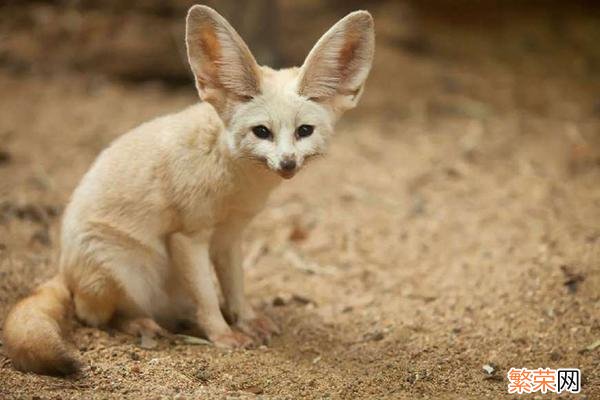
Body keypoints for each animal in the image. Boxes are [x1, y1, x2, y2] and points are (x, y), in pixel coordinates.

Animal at [1, 5, 376, 376]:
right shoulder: (188, 237)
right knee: (95, 316)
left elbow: (236, 287)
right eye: (262, 132)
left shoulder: (230, 237)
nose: (287, 163)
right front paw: (223, 336)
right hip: (127, 270)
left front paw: (246, 320)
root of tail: (64, 268)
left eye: (304, 131)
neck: (237, 185)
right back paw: (142, 324)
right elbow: (208, 297)